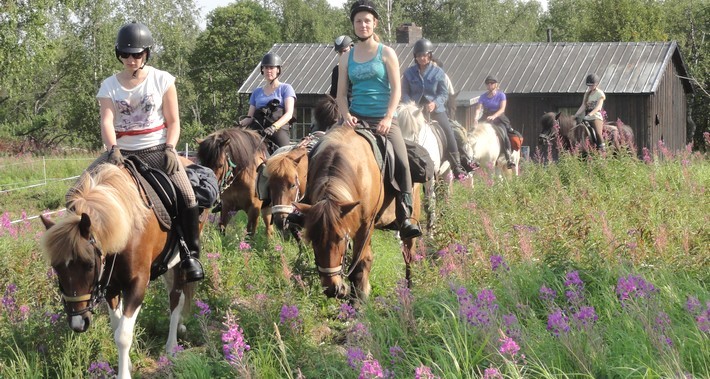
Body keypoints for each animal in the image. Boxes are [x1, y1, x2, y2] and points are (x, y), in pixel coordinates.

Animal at [40, 163, 203, 379]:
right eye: (55, 267)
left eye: (89, 265)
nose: (78, 323)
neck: (125, 229)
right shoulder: (110, 286)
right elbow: (116, 325)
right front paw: (128, 363)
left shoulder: (137, 285)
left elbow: (123, 335)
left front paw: (124, 373)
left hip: (179, 264)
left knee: (176, 299)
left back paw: (171, 347)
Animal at [296, 127, 422, 302]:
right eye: (313, 240)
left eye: (340, 238)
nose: (332, 289)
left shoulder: (365, 227)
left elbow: (360, 264)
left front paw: (357, 301)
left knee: (409, 256)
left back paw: (409, 290)